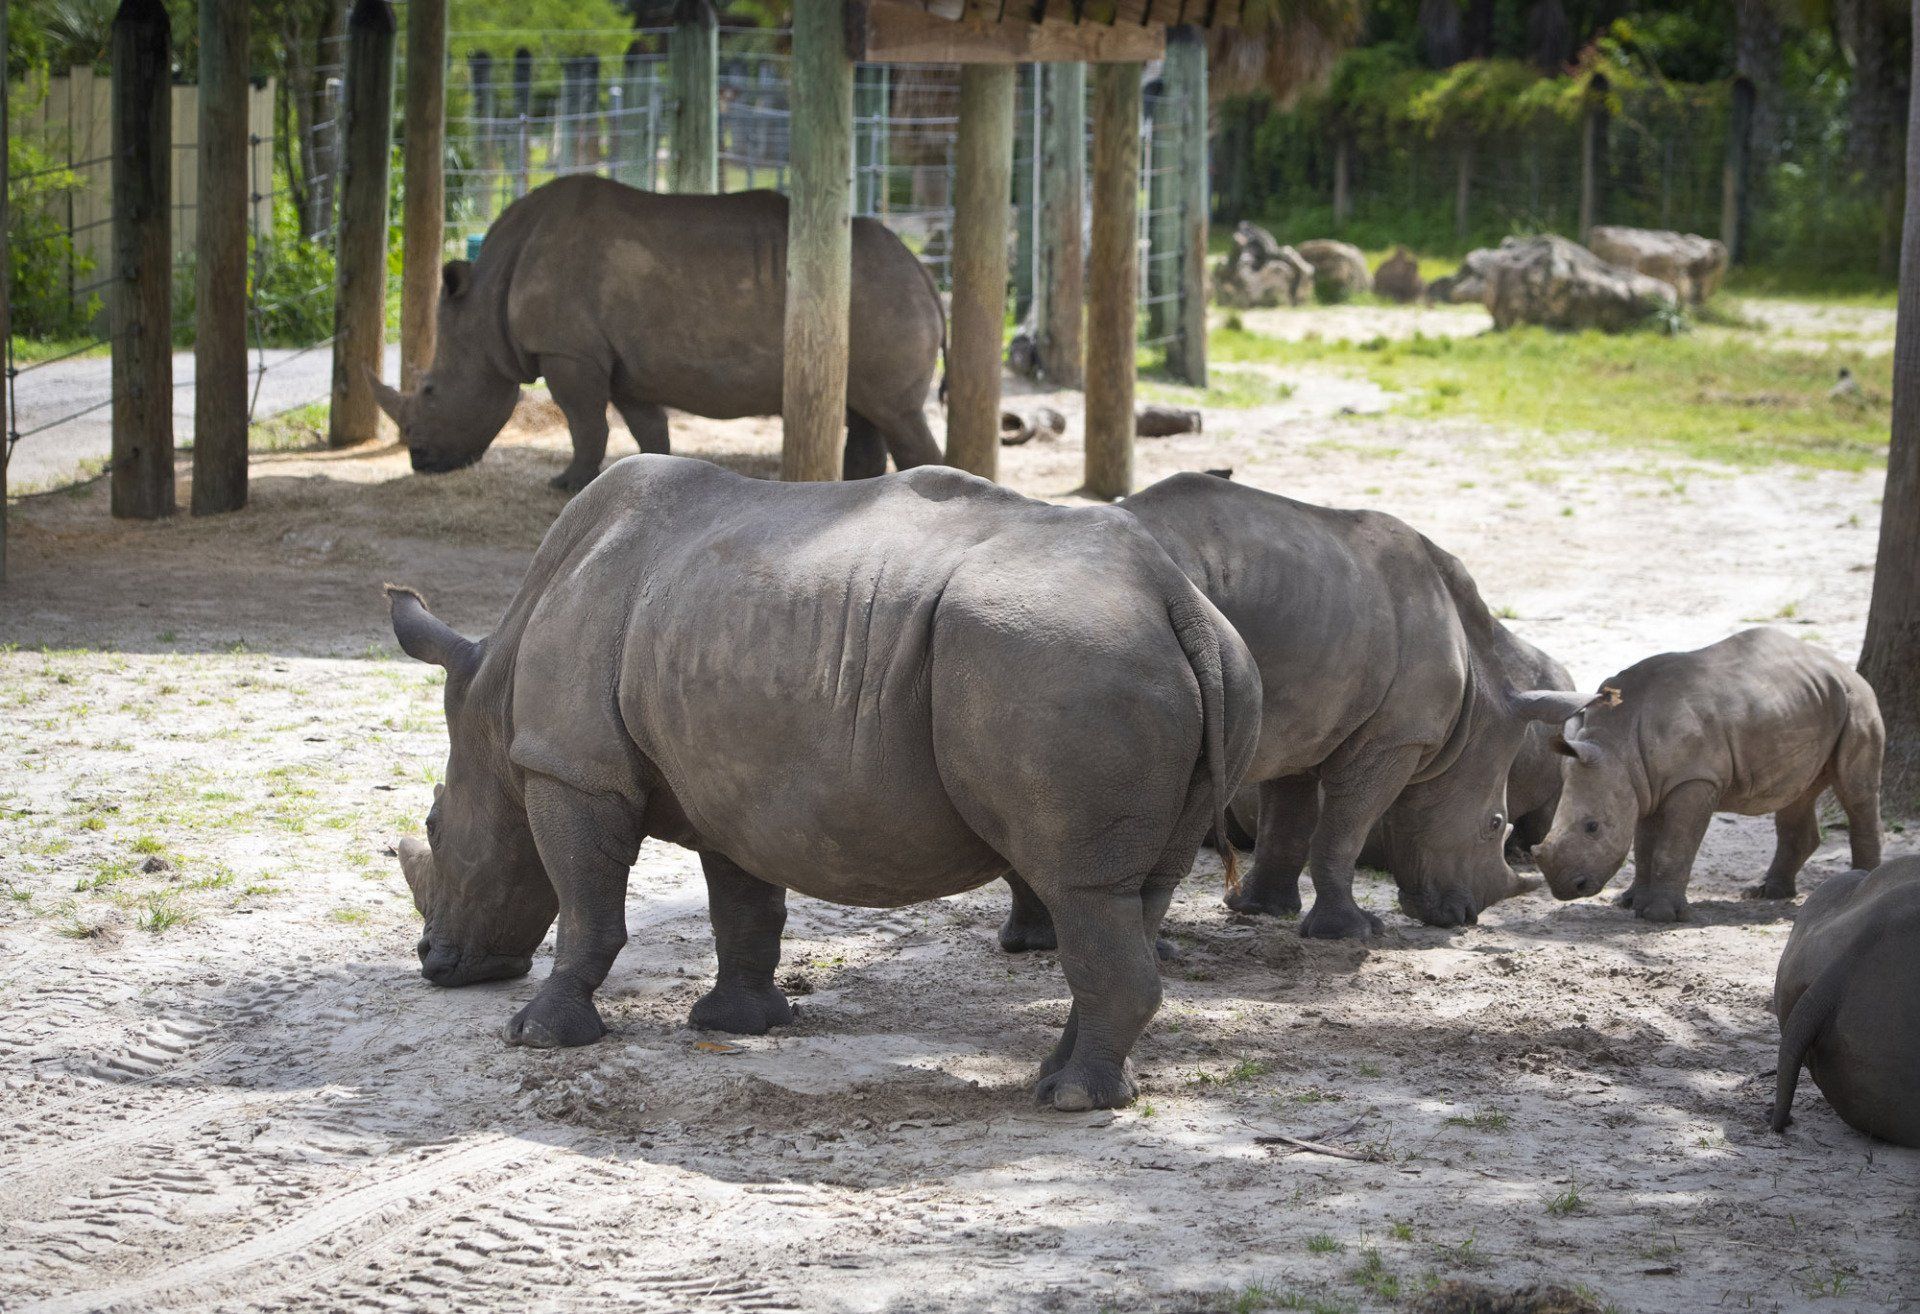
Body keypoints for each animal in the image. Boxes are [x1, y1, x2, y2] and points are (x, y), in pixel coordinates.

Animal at [371, 178, 945, 491]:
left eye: (430, 390)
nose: (419, 461)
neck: (487, 298)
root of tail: (924, 273)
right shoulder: (622, 364)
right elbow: (646, 427)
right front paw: (654, 479)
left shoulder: (568, 351)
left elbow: (584, 423)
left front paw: (566, 484)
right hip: (877, 295)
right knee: (866, 413)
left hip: (882, 295)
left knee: (895, 413)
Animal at [388, 455, 1259, 1111]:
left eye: (432, 829)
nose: (435, 963)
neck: (495, 708)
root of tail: (1174, 598)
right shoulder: (726, 778)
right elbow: (743, 906)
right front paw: (737, 1023)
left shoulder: (570, 769)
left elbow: (585, 908)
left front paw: (535, 1035)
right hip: (1188, 660)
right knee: (1135, 894)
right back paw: (1068, 1082)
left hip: (1067, 660)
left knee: (1080, 888)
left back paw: (1070, 1101)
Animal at [1000, 474, 1594, 945]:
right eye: (1494, 825)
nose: (1461, 917)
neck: (1477, 700)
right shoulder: (1396, 737)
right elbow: (1344, 828)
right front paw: (1351, 934)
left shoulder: (1304, 720)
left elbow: (1289, 820)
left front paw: (1260, 911)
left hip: (1051, 629)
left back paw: (1038, 943)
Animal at [1534, 628, 1884, 923]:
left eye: (1592, 827)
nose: (1566, 889)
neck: (1616, 745)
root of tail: (1843, 667)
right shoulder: (1643, 784)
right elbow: (1644, 847)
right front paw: (1630, 902)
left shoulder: (1694, 779)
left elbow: (1673, 846)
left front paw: (1659, 916)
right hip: (1808, 703)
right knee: (1796, 793)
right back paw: (1765, 892)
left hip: (1857, 702)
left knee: (1856, 792)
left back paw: (1860, 888)